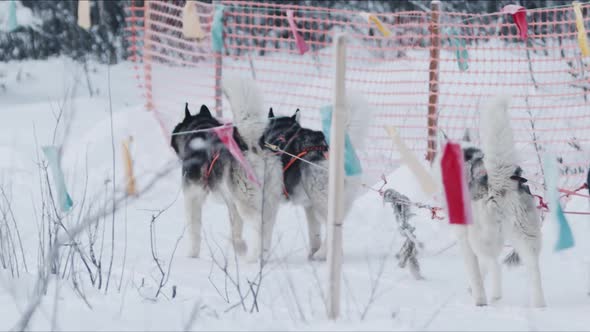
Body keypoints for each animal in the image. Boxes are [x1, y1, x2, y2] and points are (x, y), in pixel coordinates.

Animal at [171, 102, 282, 260]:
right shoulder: (232, 204)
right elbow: (236, 230)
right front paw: (238, 247)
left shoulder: (192, 197)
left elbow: (194, 230)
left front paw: (192, 254)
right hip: (268, 204)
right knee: (267, 228)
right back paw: (263, 255)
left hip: (247, 203)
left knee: (258, 226)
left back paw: (252, 258)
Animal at [456, 97, 548, 308]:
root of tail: (500, 182)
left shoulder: (464, 241)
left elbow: (476, 272)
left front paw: (479, 295)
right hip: (526, 239)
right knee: (533, 269)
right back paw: (538, 304)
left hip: (481, 237)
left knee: (492, 261)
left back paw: (489, 297)